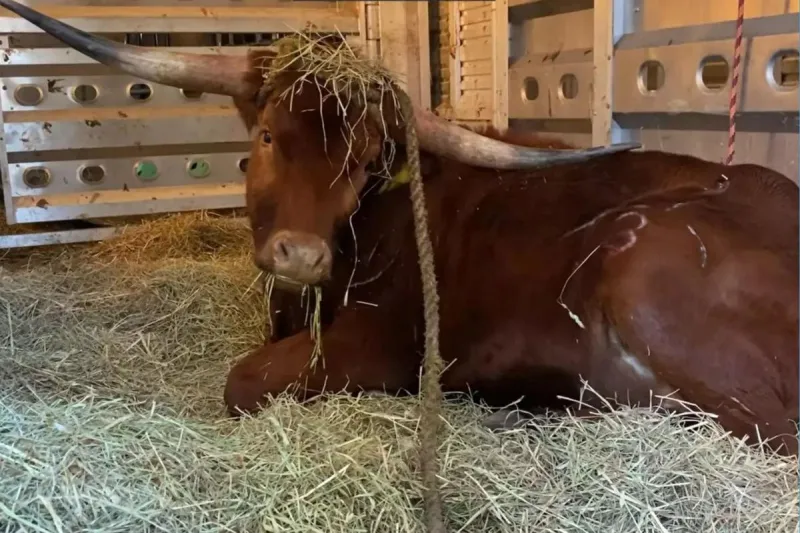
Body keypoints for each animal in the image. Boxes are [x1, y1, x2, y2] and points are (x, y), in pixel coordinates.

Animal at [6, 0, 796, 457]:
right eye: (266, 136)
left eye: (361, 163)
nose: (301, 255)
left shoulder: (382, 346)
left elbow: (243, 380)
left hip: (644, 265)